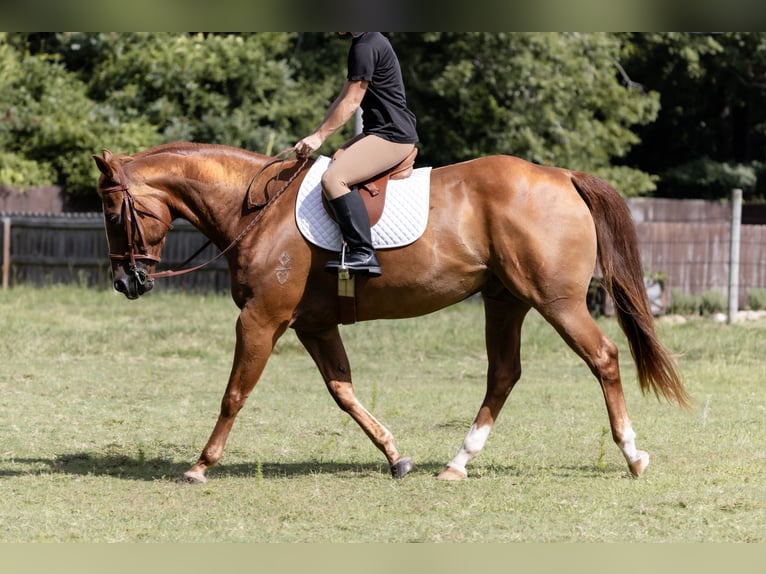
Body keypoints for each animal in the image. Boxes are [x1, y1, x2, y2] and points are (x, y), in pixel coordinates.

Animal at [92, 141, 689, 484]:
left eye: (112, 211)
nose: (125, 282)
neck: (257, 209)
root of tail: (563, 176)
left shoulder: (261, 319)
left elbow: (234, 393)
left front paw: (199, 466)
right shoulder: (315, 325)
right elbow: (344, 391)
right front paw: (394, 456)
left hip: (556, 302)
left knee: (603, 357)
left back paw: (632, 455)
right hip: (507, 301)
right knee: (503, 375)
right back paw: (457, 464)